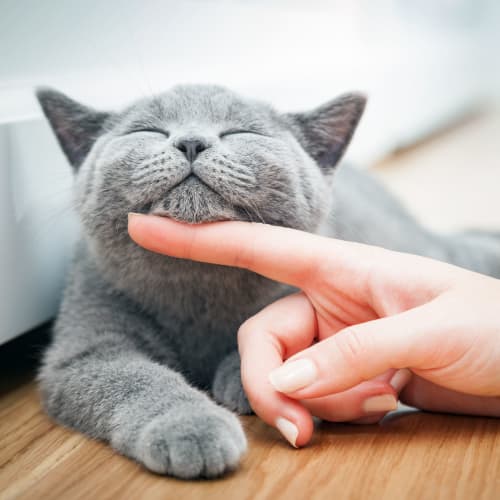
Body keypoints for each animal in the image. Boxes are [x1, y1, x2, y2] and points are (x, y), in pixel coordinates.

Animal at [36, 84, 500, 478]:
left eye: (240, 131)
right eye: (147, 130)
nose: (191, 141)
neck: (197, 289)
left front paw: (242, 378)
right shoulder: (86, 348)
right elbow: (135, 378)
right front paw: (191, 426)